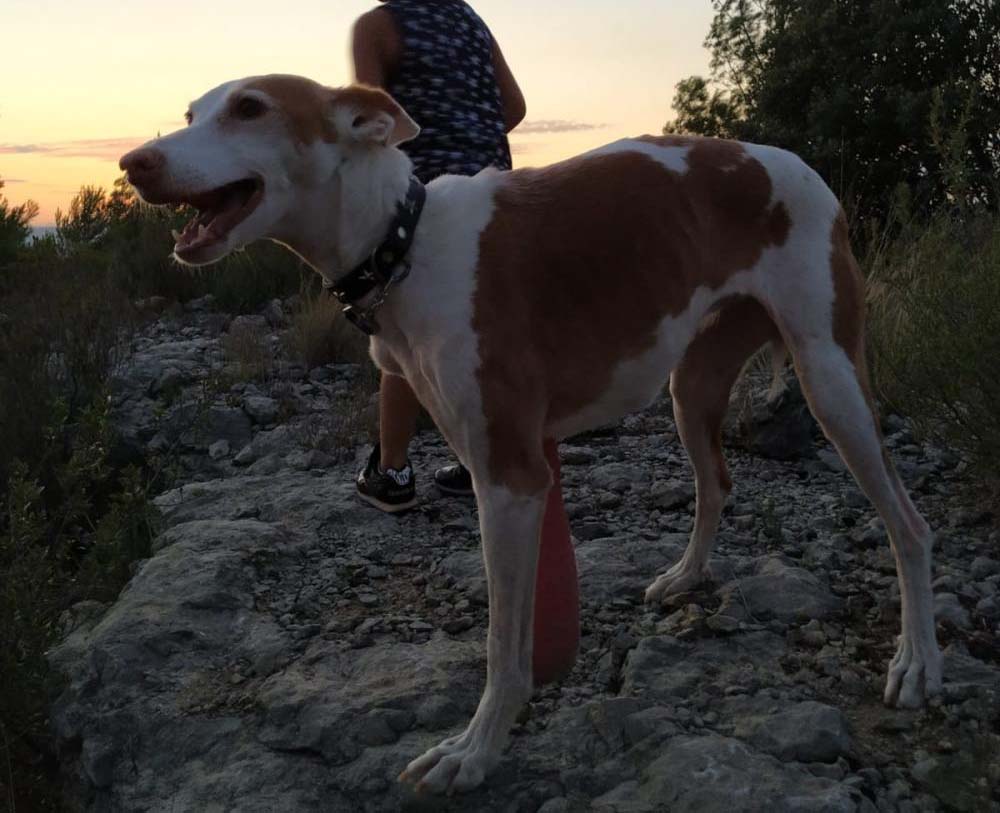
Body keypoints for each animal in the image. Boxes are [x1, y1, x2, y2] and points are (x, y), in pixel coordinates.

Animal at [121, 74, 940, 792]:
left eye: (250, 108)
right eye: (191, 112)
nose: (135, 162)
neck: (403, 244)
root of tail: (792, 162)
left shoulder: (511, 479)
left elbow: (504, 651)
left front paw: (474, 752)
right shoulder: (506, 467)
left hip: (831, 379)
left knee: (909, 523)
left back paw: (917, 660)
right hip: (693, 384)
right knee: (718, 484)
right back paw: (687, 575)